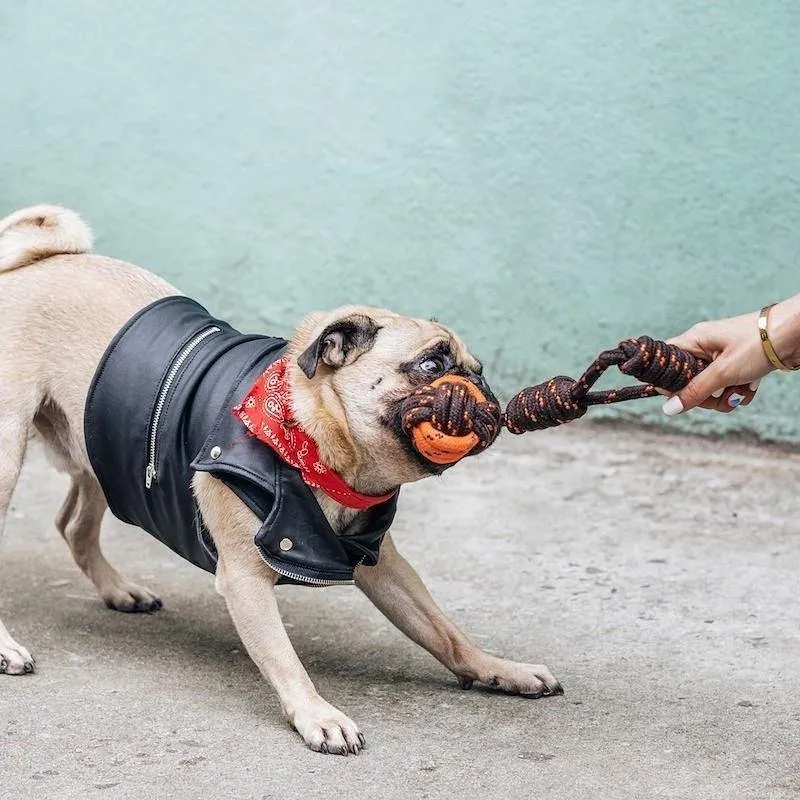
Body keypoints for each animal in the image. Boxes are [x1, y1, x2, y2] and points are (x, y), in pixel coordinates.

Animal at [0, 206, 564, 756]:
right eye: (430, 364)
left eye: (477, 367)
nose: (477, 384)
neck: (312, 441)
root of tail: (24, 268)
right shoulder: (245, 580)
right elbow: (285, 658)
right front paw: (319, 716)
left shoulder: (383, 564)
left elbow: (443, 631)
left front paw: (498, 669)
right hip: (12, 454)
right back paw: (9, 647)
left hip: (102, 445)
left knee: (74, 526)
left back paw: (120, 591)